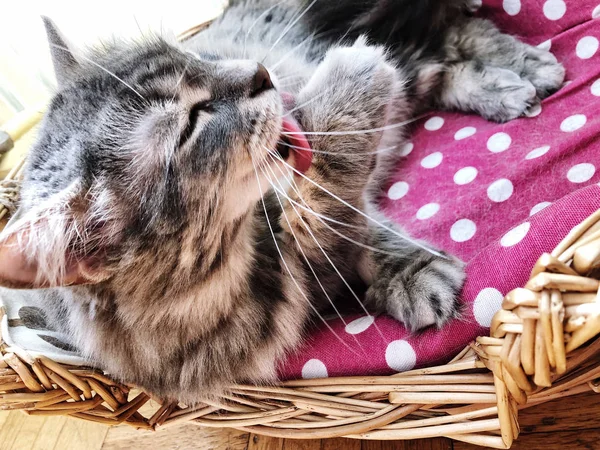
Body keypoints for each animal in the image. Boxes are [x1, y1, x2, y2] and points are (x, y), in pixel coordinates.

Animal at [0, 0, 564, 400]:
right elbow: (323, 216)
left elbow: (339, 204)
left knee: (449, 36)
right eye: (192, 122)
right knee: (439, 54)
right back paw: (506, 84)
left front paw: (414, 272)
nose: (259, 72)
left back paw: (526, 70)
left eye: (197, 59)